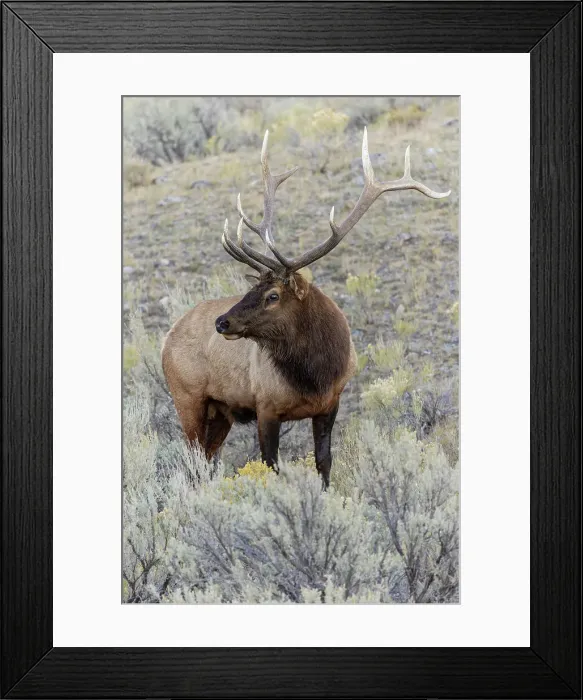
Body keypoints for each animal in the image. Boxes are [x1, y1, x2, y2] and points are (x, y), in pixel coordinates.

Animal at [162, 128, 450, 487]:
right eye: (252, 288)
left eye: (272, 295)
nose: (222, 322)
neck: (315, 374)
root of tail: (166, 338)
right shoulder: (265, 407)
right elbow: (271, 467)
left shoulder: (330, 404)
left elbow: (323, 461)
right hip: (187, 398)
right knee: (192, 463)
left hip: (219, 412)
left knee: (204, 461)